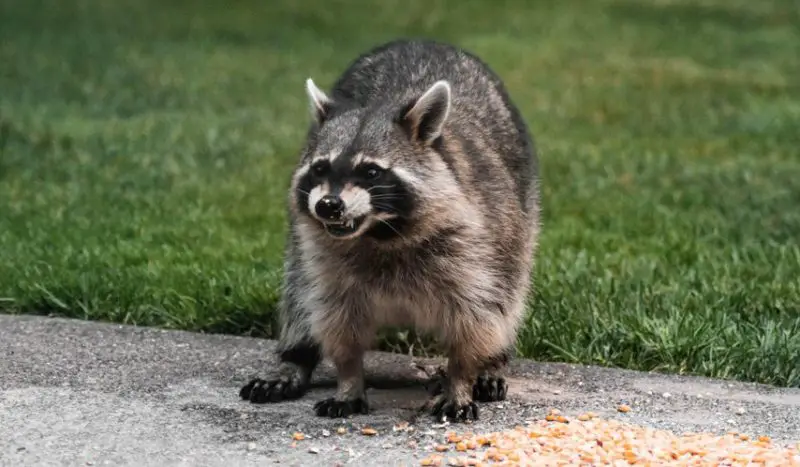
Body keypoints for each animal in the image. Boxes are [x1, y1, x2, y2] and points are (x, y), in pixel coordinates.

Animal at [239, 39, 540, 422]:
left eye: (371, 172)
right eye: (320, 168)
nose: (328, 205)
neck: (380, 232)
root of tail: (422, 40)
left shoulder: (475, 246)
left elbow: (476, 316)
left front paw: (461, 378)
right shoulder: (326, 260)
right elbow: (336, 321)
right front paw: (349, 380)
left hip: (520, 217)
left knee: (509, 296)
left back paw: (492, 364)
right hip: (299, 245)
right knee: (298, 292)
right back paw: (293, 357)